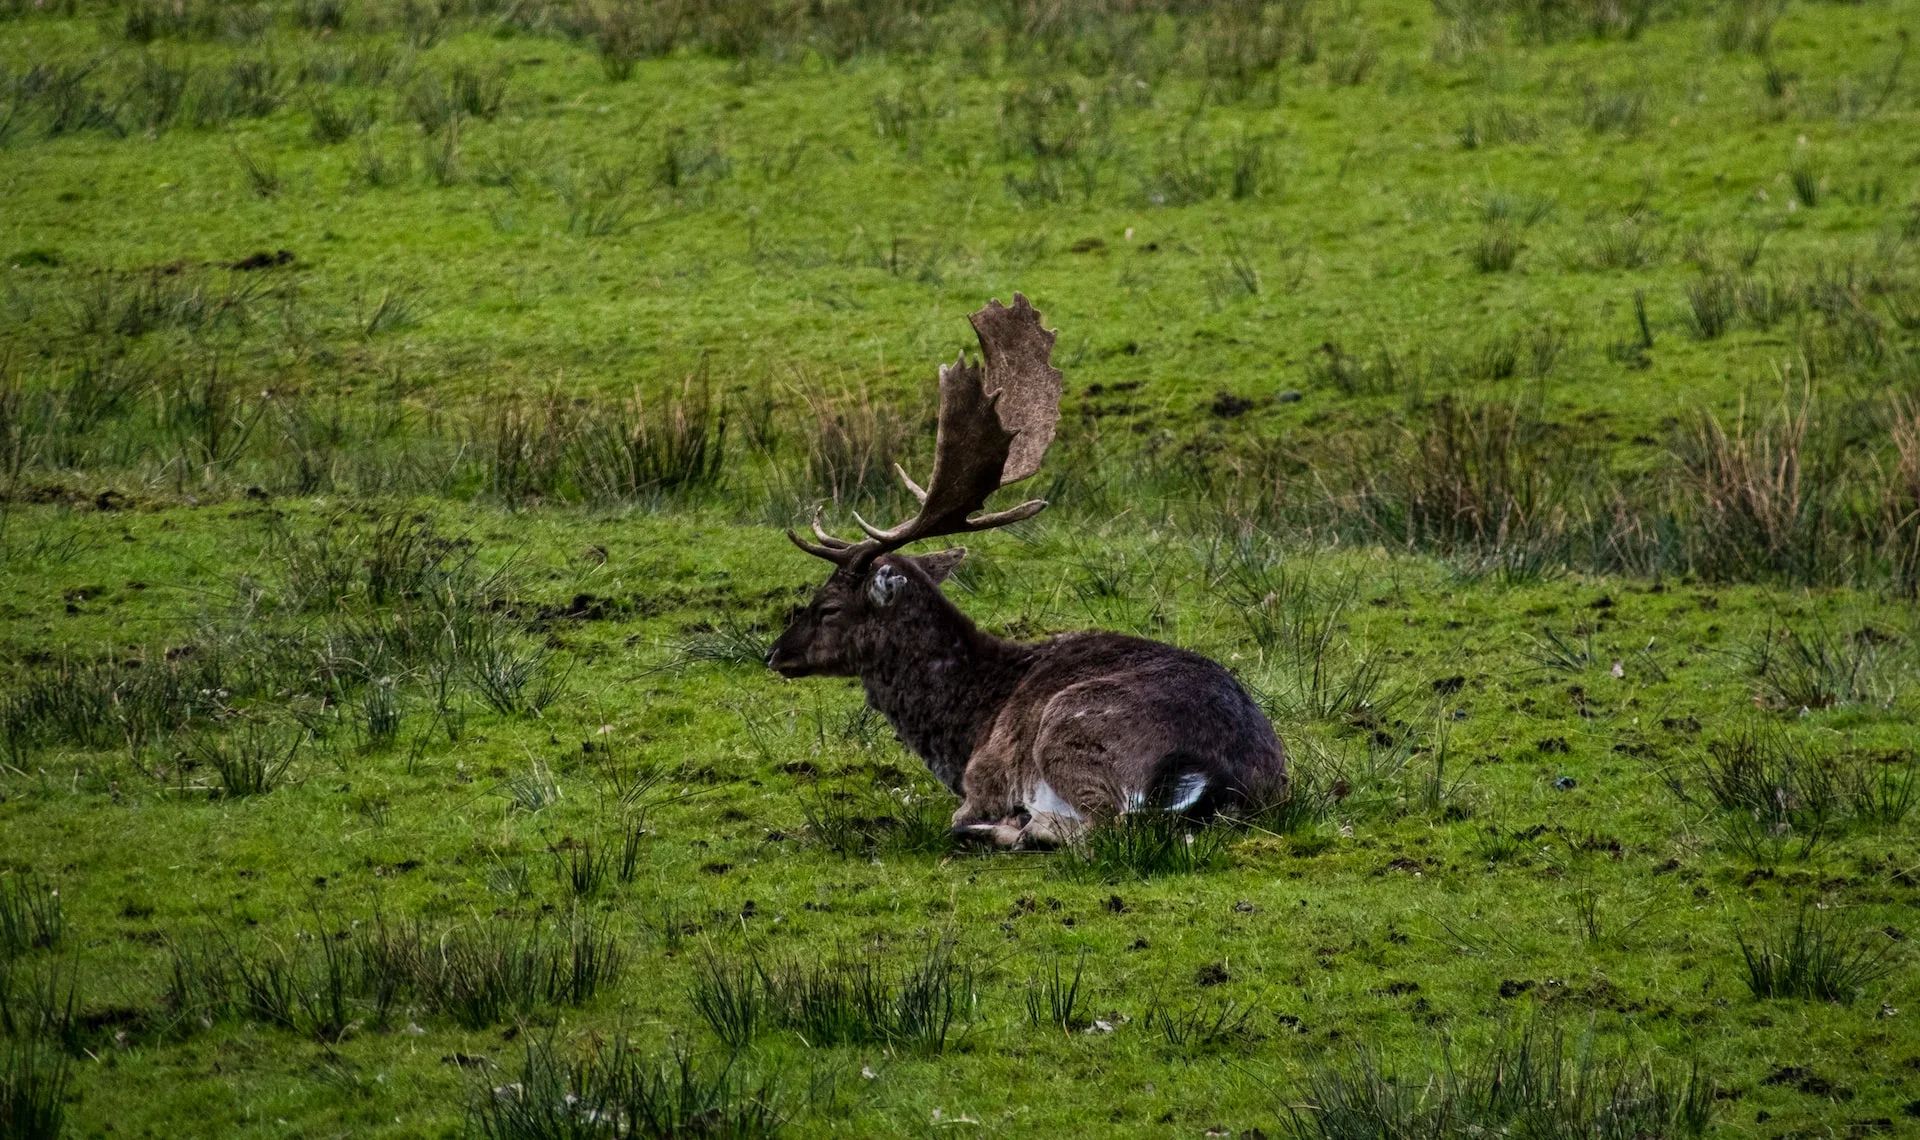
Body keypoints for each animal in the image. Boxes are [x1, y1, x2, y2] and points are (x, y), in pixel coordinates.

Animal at [766, 294, 1288, 850]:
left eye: (828, 606)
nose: (774, 653)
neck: (967, 722)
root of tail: (1220, 776)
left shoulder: (984, 777)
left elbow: (961, 815)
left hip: (1072, 727)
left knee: (1102, 828)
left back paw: (1019, 828)